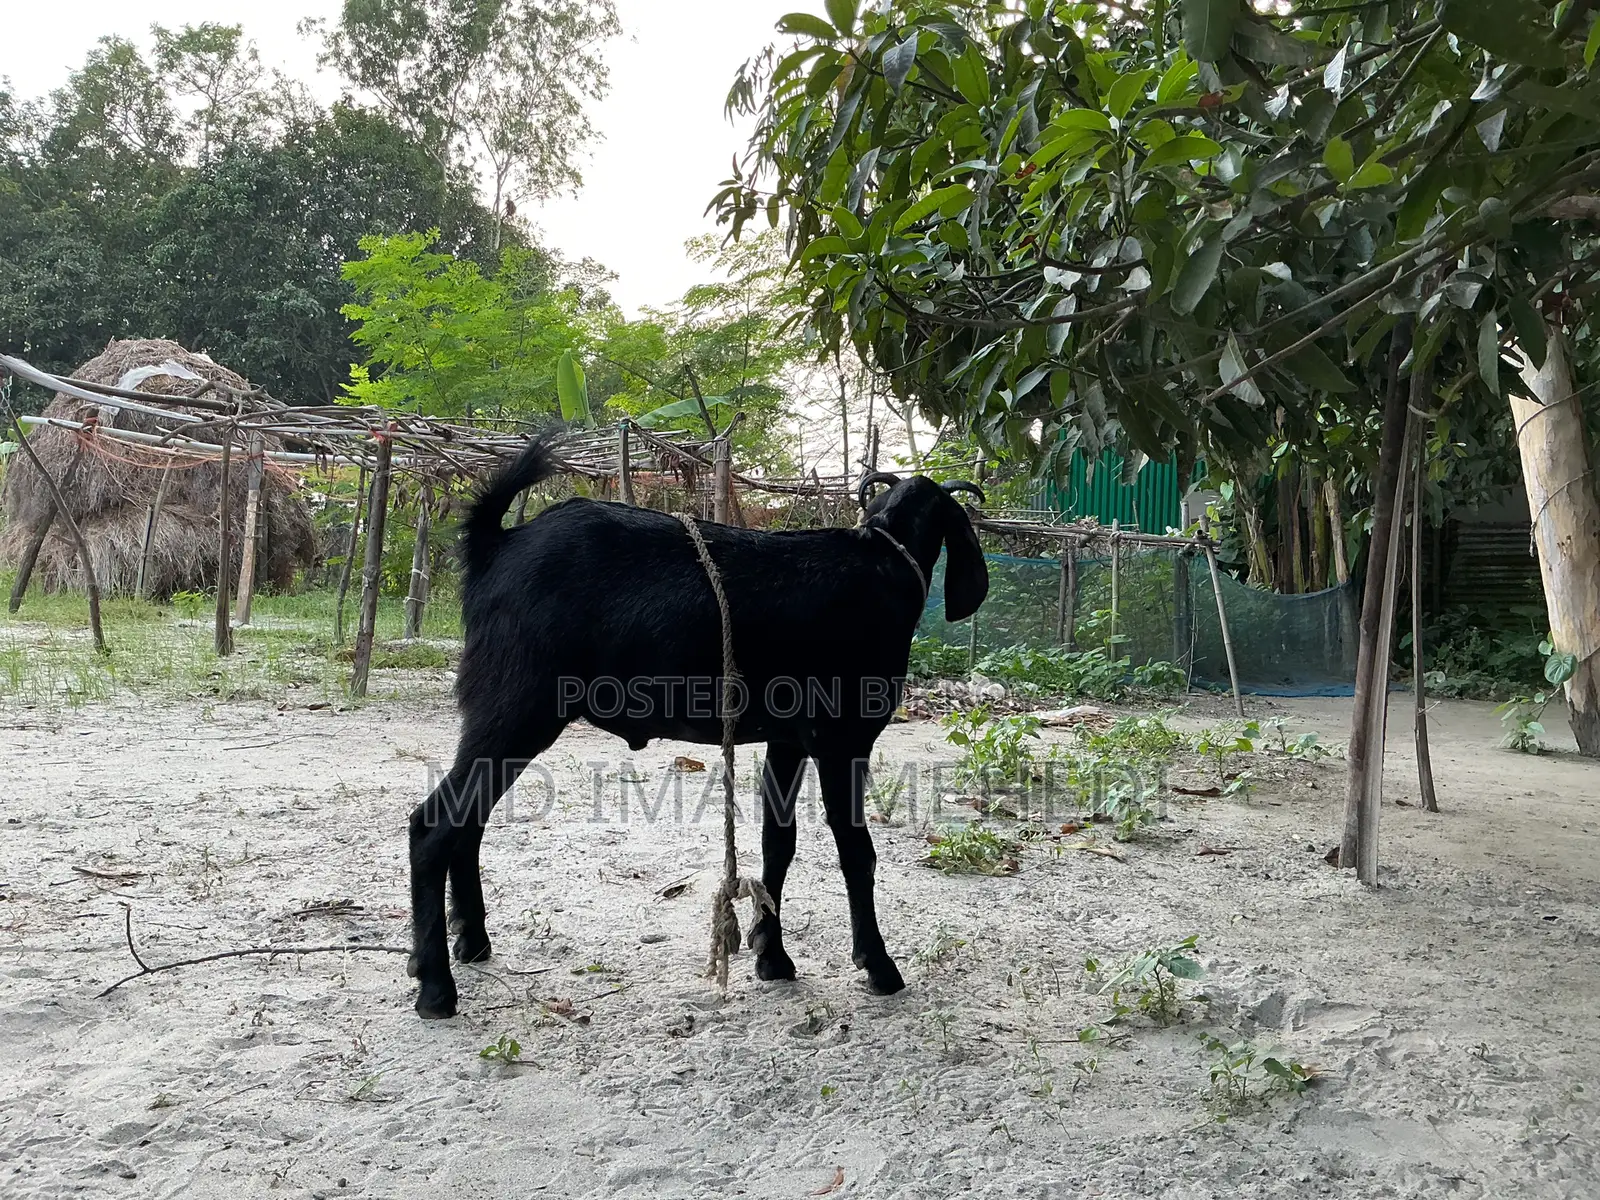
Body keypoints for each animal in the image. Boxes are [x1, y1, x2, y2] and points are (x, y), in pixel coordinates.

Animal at [406, 437, 988, 1018]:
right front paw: (878, 965)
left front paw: (772, 957)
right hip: (519, 706)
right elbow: (856, 850)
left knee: (468, 822)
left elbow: (779, 843)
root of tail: (496, 543)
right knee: (433, 824)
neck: (882, 560)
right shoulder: (843, 738)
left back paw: (472, 940)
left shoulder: (788, 740)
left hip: (503, 717)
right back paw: (435, 984)